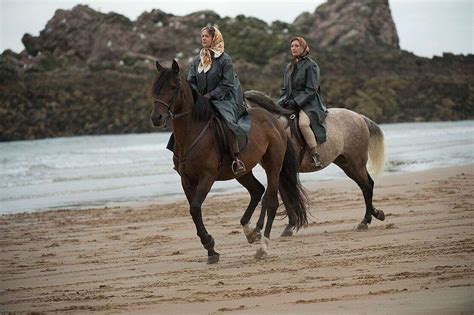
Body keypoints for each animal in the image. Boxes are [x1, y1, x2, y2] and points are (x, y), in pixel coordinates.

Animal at [150, 61, 310, 264]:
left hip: (273, 166)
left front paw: (209, 244)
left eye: (172, 87)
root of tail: (274, 120)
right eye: (155, 88)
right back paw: (251, 231)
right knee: (257, 191)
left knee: (272, 201)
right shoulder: (186, 180)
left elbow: (195, 208)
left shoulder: (207, 177)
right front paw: (211, 250)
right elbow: (194, 211)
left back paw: (263, 247)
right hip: (242, 171)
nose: (156, 118)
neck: (192, 132)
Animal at [244, 90, 386, 236]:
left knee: (367, 186)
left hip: (356, 163)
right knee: (366, 185)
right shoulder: (277, 171)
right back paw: (376, 214)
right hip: (347, 164)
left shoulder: (280, 170)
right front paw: (290, 226)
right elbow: (286, 197)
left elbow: (280, 197)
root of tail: (359, 117)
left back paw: (365, 220)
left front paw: (280, 227)